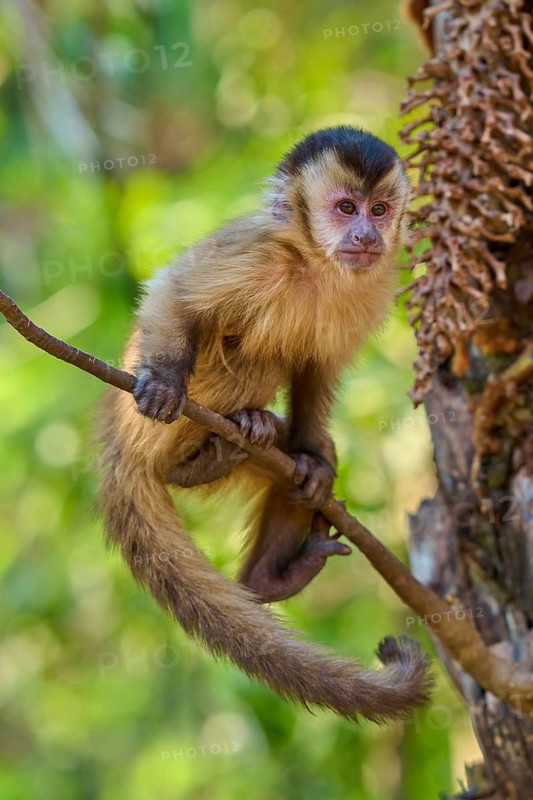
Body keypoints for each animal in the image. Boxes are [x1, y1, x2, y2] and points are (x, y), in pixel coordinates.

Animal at [97, 126, 431, 722]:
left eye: (379, 209)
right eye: (345, 208)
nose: (367, 233)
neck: (315, 261)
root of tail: (118, 446)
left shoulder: (370, 287)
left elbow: (317, 370)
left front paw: (313, 455)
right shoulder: (254, 255)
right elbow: (175, 292)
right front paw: (164, 381)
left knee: (288, 457)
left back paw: (268, 567)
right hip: (162, 422)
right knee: (248, 351)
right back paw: (190, 462)